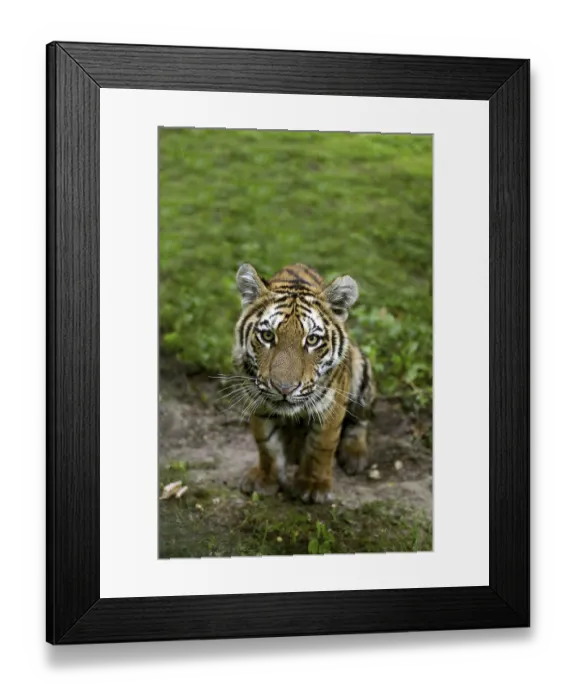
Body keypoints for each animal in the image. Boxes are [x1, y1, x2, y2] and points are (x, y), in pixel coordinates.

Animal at [229, 262, 376, 504]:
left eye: (312, 339)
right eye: (267, 336)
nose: (284, 389)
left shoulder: (332, 404)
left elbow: (321, 445)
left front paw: (313, 486)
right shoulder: (257, 399)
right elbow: (266, 444)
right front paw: (265, 480)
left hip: (361, 368)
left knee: (361, 421)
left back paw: (355, 457)